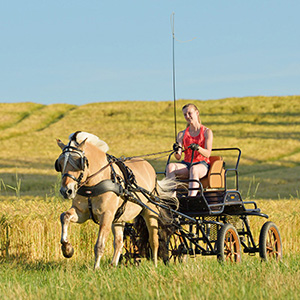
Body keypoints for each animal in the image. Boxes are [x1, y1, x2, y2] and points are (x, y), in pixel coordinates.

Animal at [55, 132, 177, 268]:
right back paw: (113, 265)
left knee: (153, 240)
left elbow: (99, 244)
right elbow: (64, 216)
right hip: (119, 218)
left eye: (78, 162)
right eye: (60, 164)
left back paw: (154, 265)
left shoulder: (106, 215)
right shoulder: (81, 213)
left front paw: (96, 268)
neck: (95, 184)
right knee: (119, 242)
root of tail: (149, 167)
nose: (66, 191)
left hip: (149, 211)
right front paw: (67, 249)